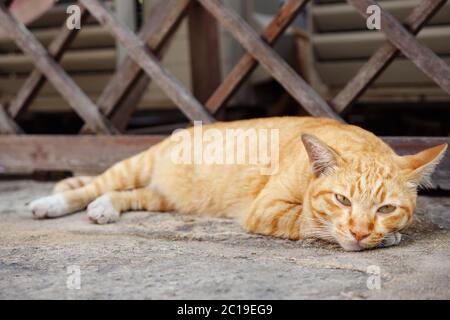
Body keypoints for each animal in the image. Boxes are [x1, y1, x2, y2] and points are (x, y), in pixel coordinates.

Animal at [29, 116, 446, 251]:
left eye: (386, 208)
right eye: (342, 200)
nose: (360, 232)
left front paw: (383, 235)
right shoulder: (268, 209)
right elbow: (312, 223)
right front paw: (379, 238)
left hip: (166, 198)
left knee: (122, 195)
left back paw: (105, 208)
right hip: (135, 165)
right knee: (96, 184)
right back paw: (50, 204)